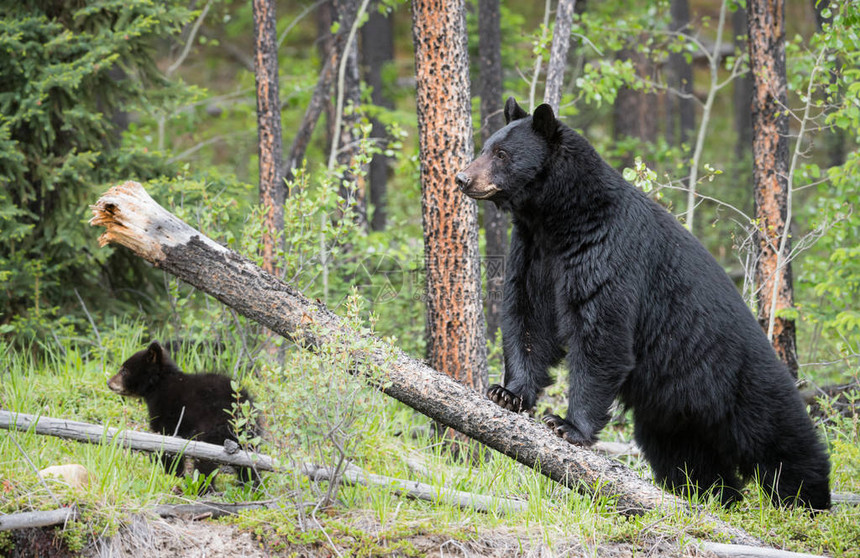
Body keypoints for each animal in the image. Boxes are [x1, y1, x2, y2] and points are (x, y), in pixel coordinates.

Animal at [106, 340, 258, 488]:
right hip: (247, 434)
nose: (108, 382)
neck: (158, 385)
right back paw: (250, 485)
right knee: (249, 461)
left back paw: (203, 487)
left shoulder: (167, 411)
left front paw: (171, 473)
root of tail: (243, 406)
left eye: (124, 370)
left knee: (207, 460)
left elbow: (166, 441)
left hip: (215, 426)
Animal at [454, 98, 828, 510]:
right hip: (671, 414)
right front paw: (507, 393)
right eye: (486, 146)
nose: (462, 178)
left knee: (781, 440)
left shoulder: (608, 251)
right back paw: (711, 496)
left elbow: (602, 333)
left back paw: (807, 500)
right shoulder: (534, 253)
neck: (559, 219)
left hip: (744, 385)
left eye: (502, 154)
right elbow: (530, 318)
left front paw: (567, 425)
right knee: (688, 459)